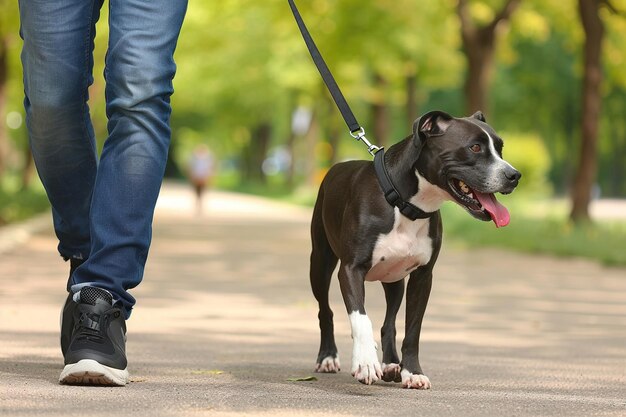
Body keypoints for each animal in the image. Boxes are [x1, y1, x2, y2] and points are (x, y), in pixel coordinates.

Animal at [306, 109, 516, 386]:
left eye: (500, 148)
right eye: (475, 147)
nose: (514, 175)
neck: (406, 204)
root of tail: (336, 167)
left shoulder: (422, 277)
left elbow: (413, 329)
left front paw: (412, 372)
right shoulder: (351, 270)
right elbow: (361, 319)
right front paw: (365, 362)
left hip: (394, 279)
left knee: (389, 322)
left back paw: (391, 364)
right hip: (320, 264)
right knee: (325, 311)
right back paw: (328, 357)